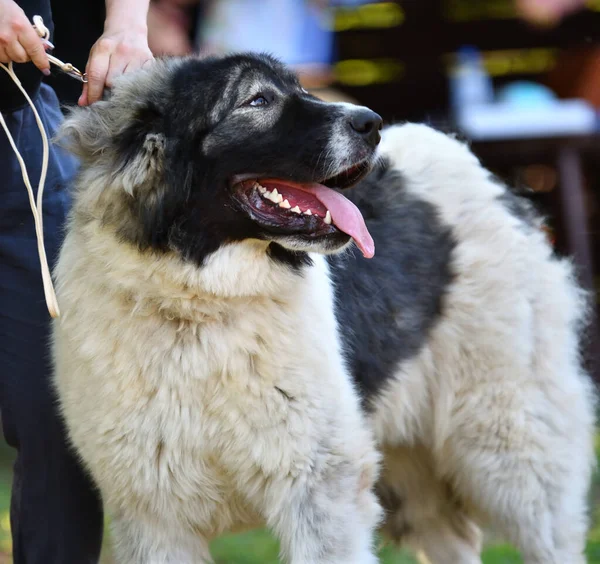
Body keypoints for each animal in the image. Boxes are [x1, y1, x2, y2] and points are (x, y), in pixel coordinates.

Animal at [51, 54, 596, 564]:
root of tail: (476, 167)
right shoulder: (154, 515)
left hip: (509, 447)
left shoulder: (319, 490)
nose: (371, 122)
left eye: (300, 89)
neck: (202, 306)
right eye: (257, 100)